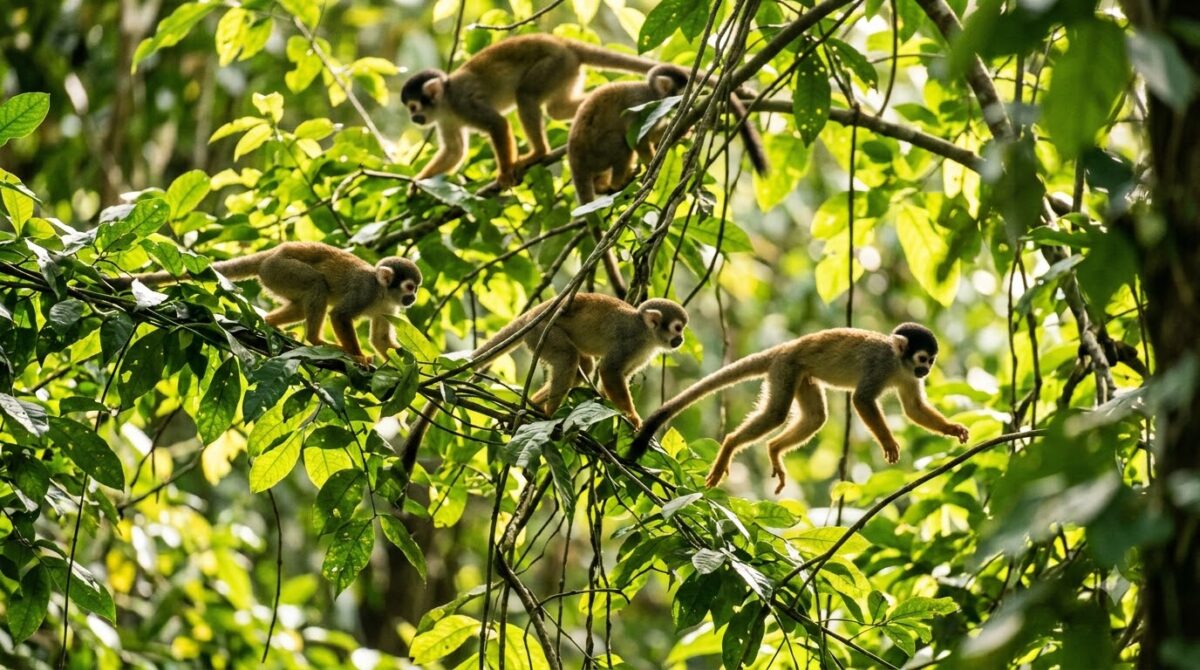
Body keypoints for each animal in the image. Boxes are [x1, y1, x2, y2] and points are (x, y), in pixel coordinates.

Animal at [110, 242, 422, 366]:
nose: (414, 298)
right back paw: (315, 339)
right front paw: (358, 357)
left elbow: (380, 339)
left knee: (304, 300)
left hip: (276, 277)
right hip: (281, 270)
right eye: (410, 287)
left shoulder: (389, 307)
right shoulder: (364, 291)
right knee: (317, 285)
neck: (382, 292)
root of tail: (272, 252)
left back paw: (271, 325)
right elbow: (340, 315)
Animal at [401, 34, 663, 189]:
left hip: (554, 64)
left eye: (413, 107)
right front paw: (418, 183)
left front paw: (505, 172)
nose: (414, 118)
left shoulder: (463, 103)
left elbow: (497, 124)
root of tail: (563, 43)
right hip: (566, 71)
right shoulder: (444, 118)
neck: (445, 102)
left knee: (525, 95)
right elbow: (455, 150)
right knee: (556, 109)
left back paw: (538, 152)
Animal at [627, 323, 970, 493]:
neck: (899, 363)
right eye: (923, 358)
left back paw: (775, 449)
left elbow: (913, 407)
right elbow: (862, 400)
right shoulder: (880, 365)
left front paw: (952, 429)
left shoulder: (908, 377)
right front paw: (888, 443)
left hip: (802, 376)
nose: (926, 370)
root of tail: (785, 347)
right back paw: (731, 445)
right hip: (785, 370)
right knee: (777, 413)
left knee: (816, 417)